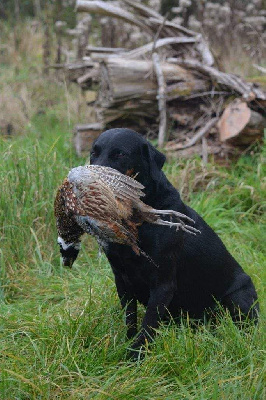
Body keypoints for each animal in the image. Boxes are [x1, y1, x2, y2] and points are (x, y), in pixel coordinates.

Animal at [89, 127, 258, 354]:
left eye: (120, 154)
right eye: (94, 152)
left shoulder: (163, 282)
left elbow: (148, 323)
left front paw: (136, 354)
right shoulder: (121, 278)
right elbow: (130, 318)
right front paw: (127, 343)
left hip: (239, 296)